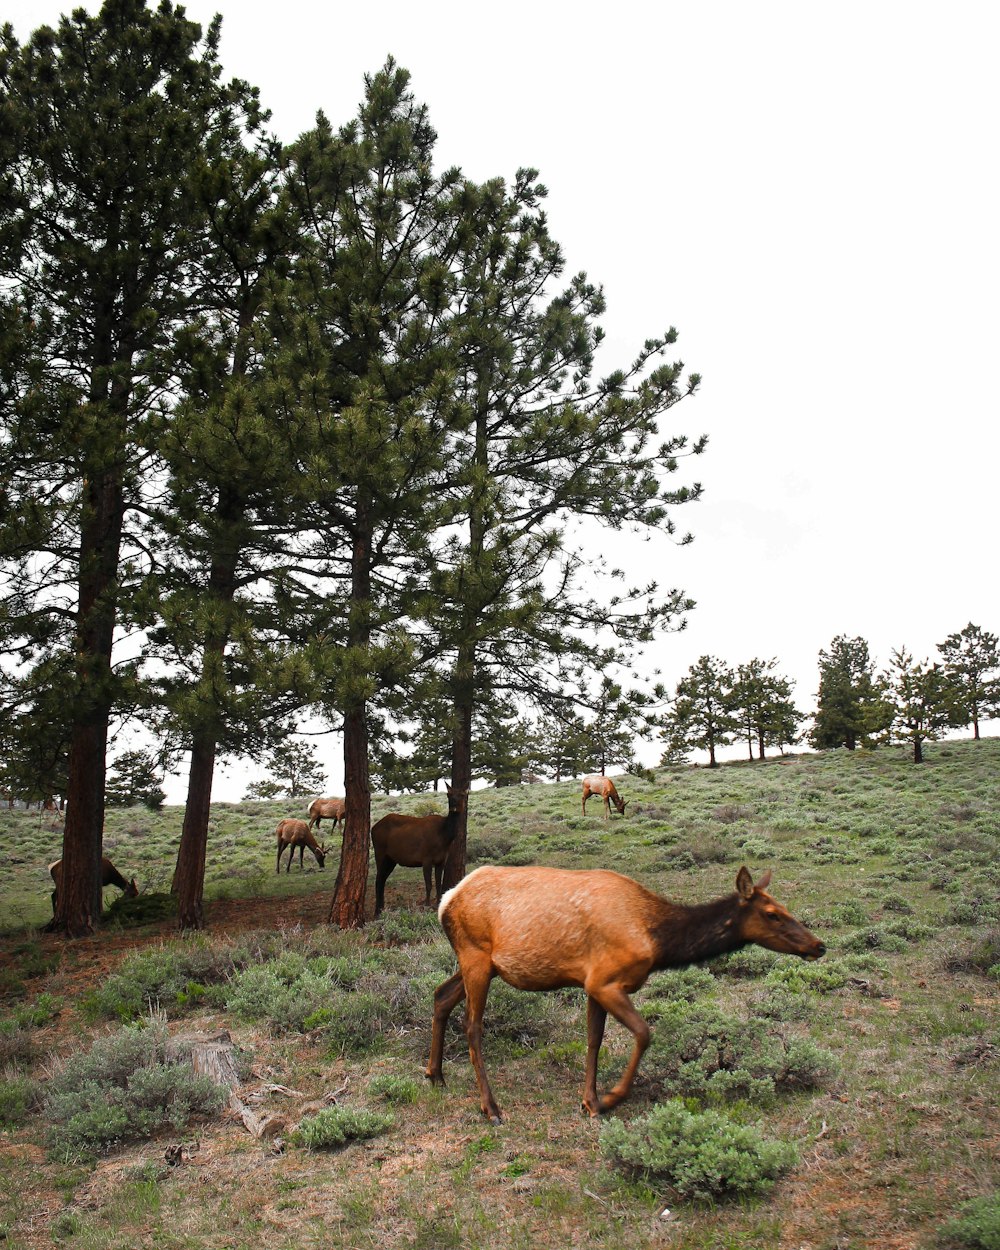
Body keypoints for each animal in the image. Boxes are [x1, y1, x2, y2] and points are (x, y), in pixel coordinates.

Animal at [370, 790, 470, 920]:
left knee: (382, 880)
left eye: (462, 795)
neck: (444, 838)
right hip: (380, 852)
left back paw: (381, 909)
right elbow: (428, 884)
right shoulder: (426, 858)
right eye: (449, 795)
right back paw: (377, 912)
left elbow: (438, 883)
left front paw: (438, 903)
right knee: (378, 880)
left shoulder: (441, 860)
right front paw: (427, 905)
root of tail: (372, 828)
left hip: (391, 859)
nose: (454, 805)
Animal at [425, 870, 825, 1125]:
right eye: (772, 914)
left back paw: (435, 1074)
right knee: (472, 1026)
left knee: (440, 995)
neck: (658, 940)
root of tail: (446, 901)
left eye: (786, 908)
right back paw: (490, 1107)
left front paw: (589, 1101)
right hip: (475, 955)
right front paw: (612, 1097)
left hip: (483, 963)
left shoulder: (592, 982)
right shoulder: (606, 981)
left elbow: (594, 1040)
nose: (818, 945)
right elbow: (644, 1033)